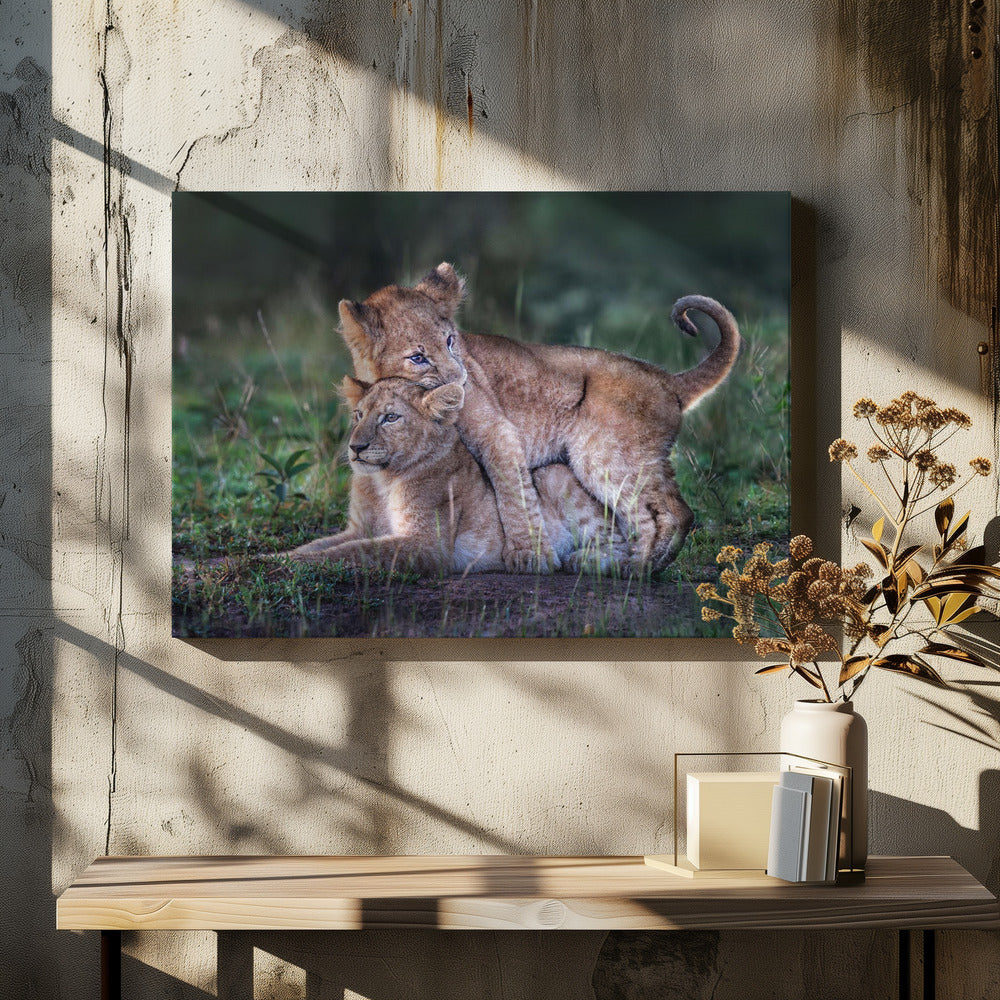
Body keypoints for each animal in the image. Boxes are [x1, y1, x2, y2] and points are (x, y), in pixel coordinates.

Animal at [289, 377, 629, 575]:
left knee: (622, 543)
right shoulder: (360, 528)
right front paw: (282, 557)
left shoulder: (426, 545)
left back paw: (584, 560)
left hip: (554, 473)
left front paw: (294, 564)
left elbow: (356, 552)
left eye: (391, 417)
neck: (381, 480)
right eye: (358, 415)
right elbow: (322, 546)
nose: (355, 447)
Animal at [337, 263, 743, 573]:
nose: (461, 379)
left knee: (671, 513)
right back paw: (605, 563)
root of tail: (667, 379)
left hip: (603, 456)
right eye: (418, 357)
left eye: (451, 341)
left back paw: (637, 568)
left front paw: (529, 556)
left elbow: (513, 493)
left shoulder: (497, 432)